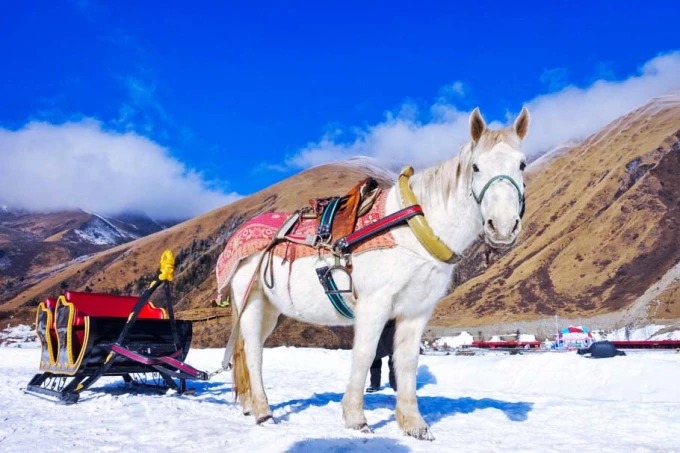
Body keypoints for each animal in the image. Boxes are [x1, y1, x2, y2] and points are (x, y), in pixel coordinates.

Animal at [218, 106, 530, 440]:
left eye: (522, 164)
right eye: (476, 167)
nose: (502, 227)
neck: (411, 230)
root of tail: (239, 236)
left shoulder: (415, 311)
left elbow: (406, 363)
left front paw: (414, 424)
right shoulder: (375, 304)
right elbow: (365, 354)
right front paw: (356, 419)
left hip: (270, 310)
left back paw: (250, 405)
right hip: (252, 301)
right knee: (253, 353)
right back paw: (263, 411)